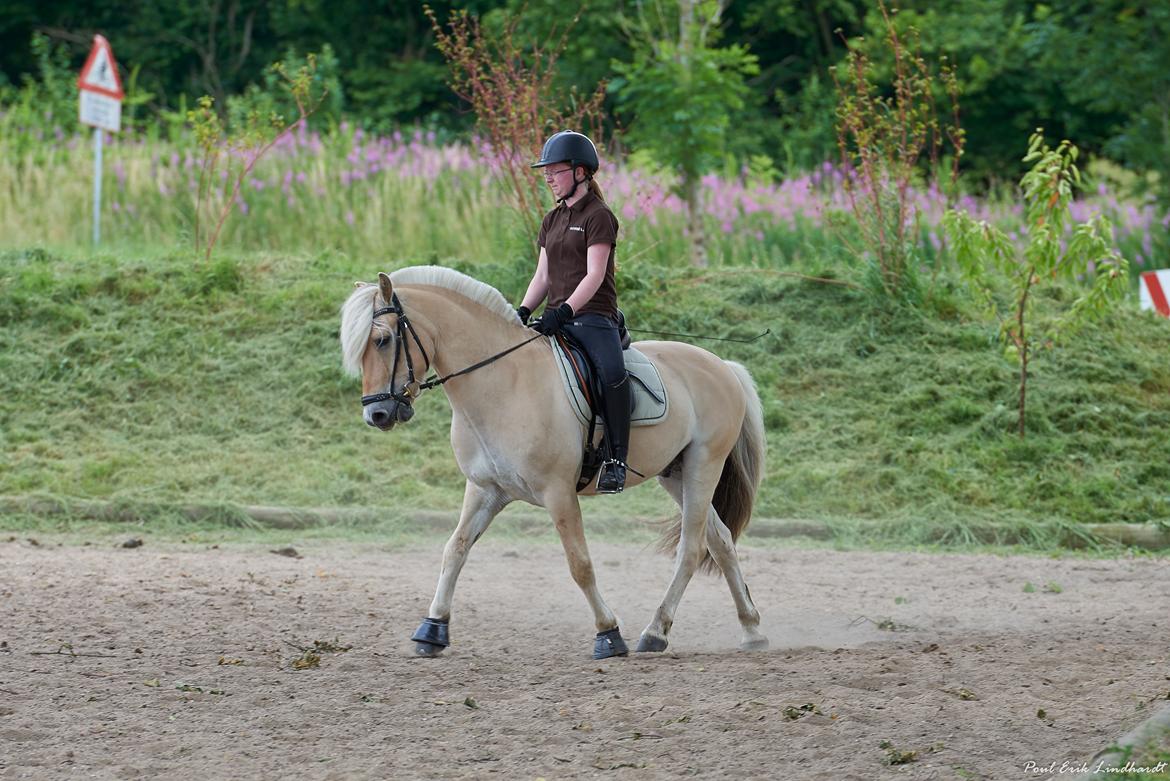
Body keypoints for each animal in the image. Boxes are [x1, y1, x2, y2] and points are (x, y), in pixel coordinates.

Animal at [339, 268, 767, 659]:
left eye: (382, 340)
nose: (376, 415)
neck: (502, 383)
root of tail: (723, 366)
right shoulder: (485, 490)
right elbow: (454, 550)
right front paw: (432, 629)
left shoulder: (558, 492)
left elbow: (580, 564)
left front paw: (608, 634)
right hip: (675, 473)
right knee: (721, 540)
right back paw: (751, 630)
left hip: (703, 465)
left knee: (692, 549)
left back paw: (655, 632)